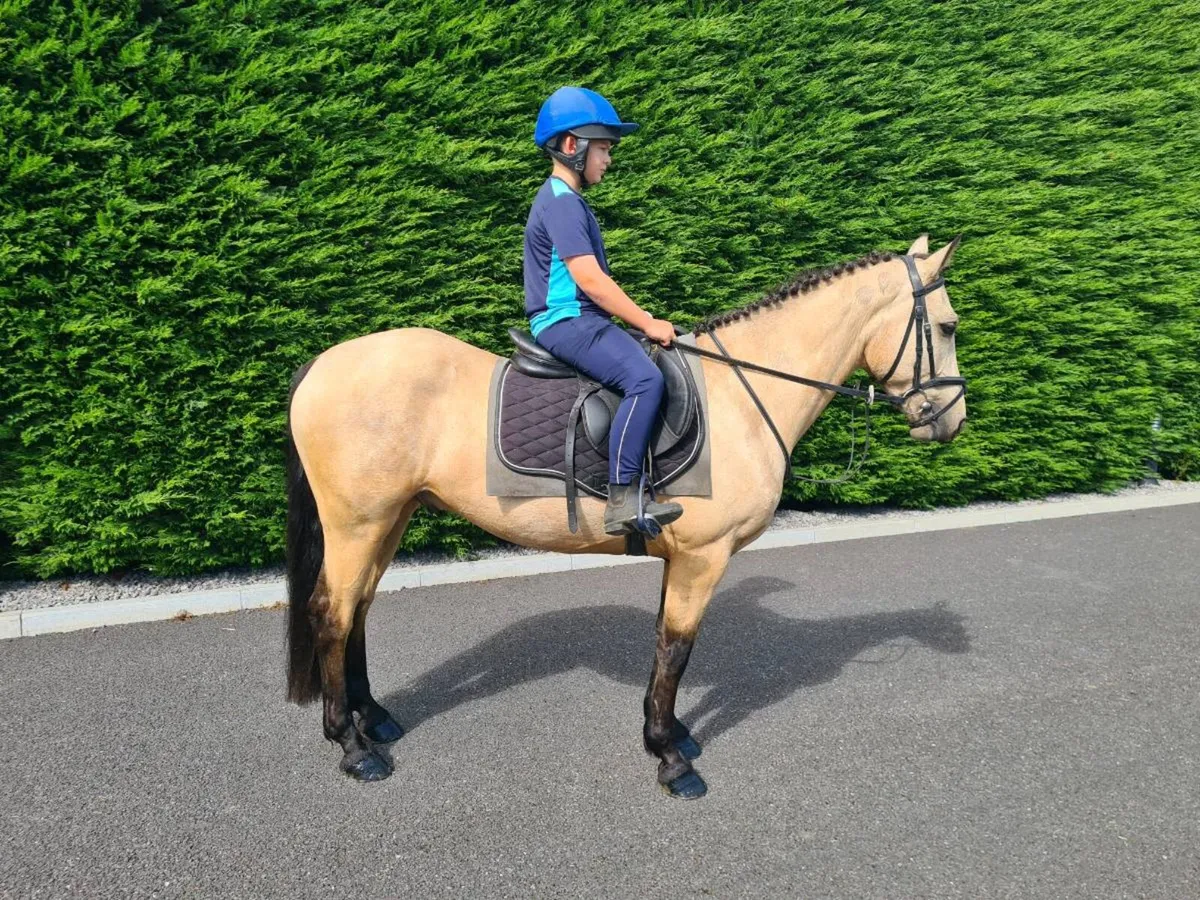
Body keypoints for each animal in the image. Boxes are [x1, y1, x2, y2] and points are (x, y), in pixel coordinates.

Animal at [284, 234, 968, 798]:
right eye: (948, 326)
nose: (951, 420)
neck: (741, 396)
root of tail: (322, 363)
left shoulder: (681, 558)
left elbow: (665, 646)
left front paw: (669, 732)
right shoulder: (703, 558)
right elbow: (676, 649)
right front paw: (671, 759)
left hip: (389, 519)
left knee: (358, 610)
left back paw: (375, 719)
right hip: (358, 524)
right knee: (332, 614)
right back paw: (352, 747)